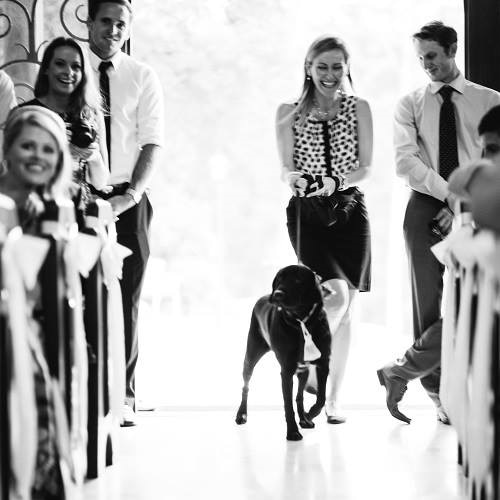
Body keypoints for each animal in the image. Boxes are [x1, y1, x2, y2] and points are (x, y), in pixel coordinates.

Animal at [235, 264, 332, 440]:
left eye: (298, 280)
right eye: (279, 279)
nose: (277, 294)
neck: (301, 321)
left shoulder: (324, 364)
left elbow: (321, 398)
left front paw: (309, 415)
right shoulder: (286, 371)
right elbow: (288, 404)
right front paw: (293, 431)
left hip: (303, 370)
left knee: (299, 396)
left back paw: (304, 419)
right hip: (251, 356)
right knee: (246, 386)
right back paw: (241, 414)